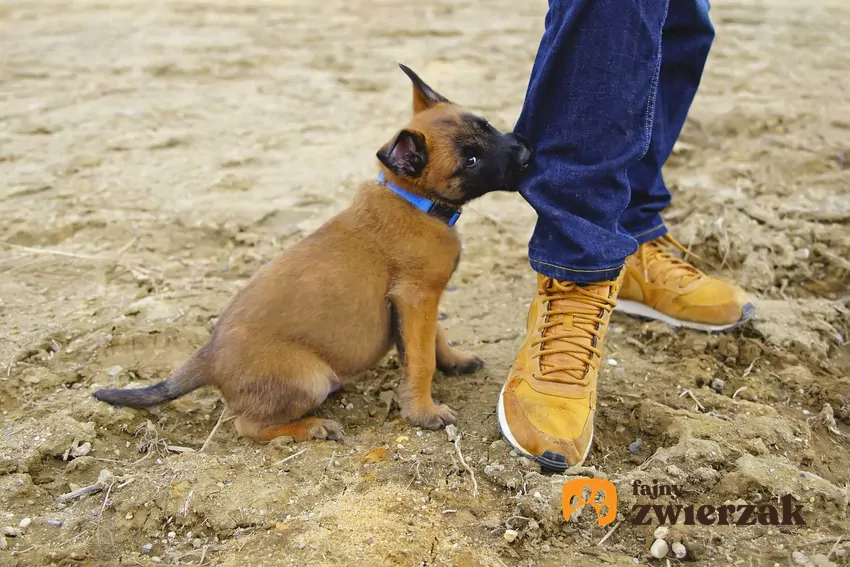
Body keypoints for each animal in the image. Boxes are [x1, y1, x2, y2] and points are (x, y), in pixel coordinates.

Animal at [94, 65, 528, 444]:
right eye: (470, 160)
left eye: (486, 126)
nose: (525, 153)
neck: (412, 199)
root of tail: (207, 357)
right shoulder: (415, 297)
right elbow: (420, 361)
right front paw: (425, 412)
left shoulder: (420, 301)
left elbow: (433, 337)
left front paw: (454, 360)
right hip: (310, 379)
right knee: (247, 426)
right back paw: (310, 427)